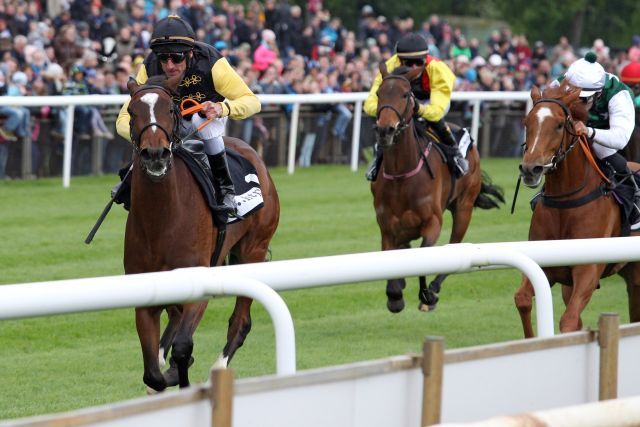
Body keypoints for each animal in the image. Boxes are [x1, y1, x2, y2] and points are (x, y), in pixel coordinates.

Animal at [124, 76, 278, 392]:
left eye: (171, 109)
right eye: (132, 112)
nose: (155, 154)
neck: (161, 221)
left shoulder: (199, 281)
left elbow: (183, 347)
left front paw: (180, 373)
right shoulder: (145, 294)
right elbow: (152, 373)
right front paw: (163, 371)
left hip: (254, 250)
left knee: (240, 322)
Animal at [372, 63, 502, 312]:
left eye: (405, 95)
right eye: (379, 94)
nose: (385, 130)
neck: (402, 176)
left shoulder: (432, 223)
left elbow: (426, 256)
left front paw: (426, 295)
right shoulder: (387, 228)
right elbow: (391, 262)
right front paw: (395, 294)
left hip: (464, 207)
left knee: (455, 244)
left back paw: (433, 289)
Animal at [516, 80, 640, 338]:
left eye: (559, 125)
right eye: (527, 122)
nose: (530, 169)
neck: (566, 203)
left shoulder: (588, 271)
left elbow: (569, 320)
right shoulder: (549, 265)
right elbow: (522, 298)